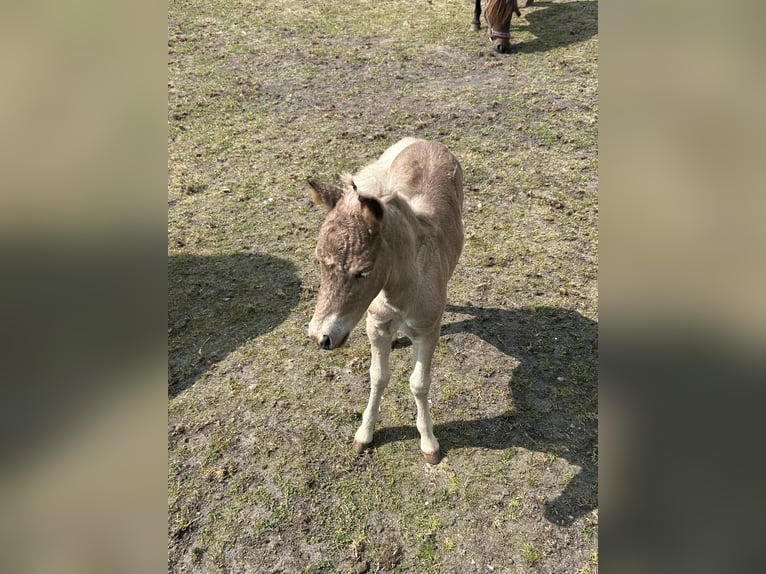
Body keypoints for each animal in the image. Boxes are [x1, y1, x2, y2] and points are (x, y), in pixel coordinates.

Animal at [308, 140, 464, 468]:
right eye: (319, 261)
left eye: (364, 271)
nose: (320, 337)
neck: (400, 290)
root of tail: (424, 141)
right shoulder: (376, 325)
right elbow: (378, 376)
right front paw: (364, 435)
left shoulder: (427, 331)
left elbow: (419, 383)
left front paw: (429, 444)